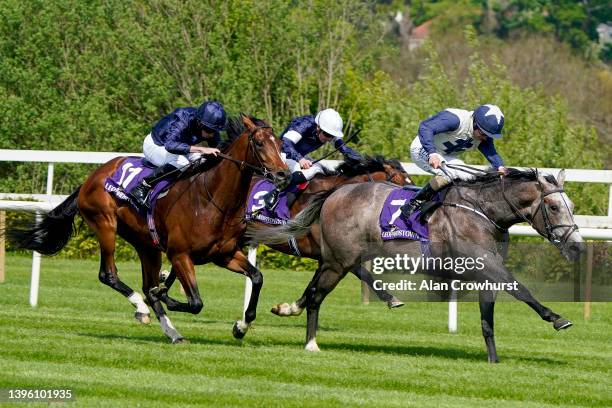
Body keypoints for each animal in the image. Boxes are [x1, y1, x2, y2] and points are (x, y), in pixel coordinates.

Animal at [11, 115, 290, 344]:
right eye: (260, 143)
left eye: (279, 144)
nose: (283, 174)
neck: (214, 200)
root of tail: (92, 177)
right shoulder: (180, 254)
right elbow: (195, 302)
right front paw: (165, 293)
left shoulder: (224, 254)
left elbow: (257, 277)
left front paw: (241, 326)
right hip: (105, 224)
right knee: (109, 275)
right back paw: (142, 308)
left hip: (146, 244)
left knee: (145, 285)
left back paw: (173, 332)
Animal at [247, 167, 584, 362]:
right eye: (554, 206)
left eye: (572, 206)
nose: (578, 246)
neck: (483, 212)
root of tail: (335, 192)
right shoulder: (486, 265)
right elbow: (521, 288)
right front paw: (557, 318)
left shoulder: (485, 272)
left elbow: (487, 320)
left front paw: (493, 361)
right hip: (338, 261)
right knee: (317, 296)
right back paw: (311, 344)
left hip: (336, 258)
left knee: (315, 288)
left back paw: (288, 310)